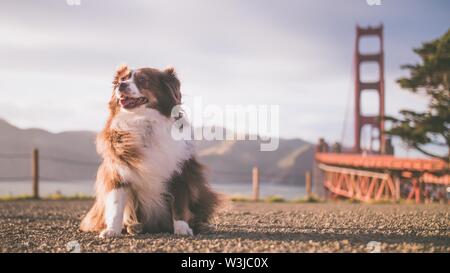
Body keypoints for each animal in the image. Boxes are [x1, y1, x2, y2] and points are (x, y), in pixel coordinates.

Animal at [81, 65, 222, 237]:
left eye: (142, 79)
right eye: (123, 79)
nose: (120, 85)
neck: (144, 121)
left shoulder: (180, 172)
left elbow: (179, 204)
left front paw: (182, 228)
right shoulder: (118, 172)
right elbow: (116, 205)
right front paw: (112, 230)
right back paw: (133, 226)